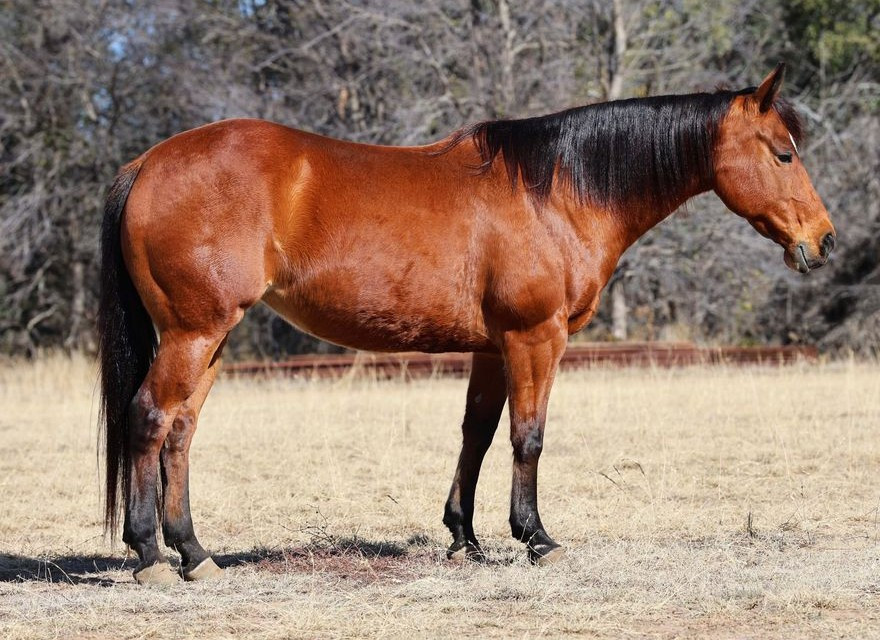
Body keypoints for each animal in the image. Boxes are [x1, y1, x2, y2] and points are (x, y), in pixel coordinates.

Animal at [97, 63, 835, 584]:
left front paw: (465, 538)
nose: (824, 241)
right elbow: (528, 438)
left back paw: (195, 553)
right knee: (148, 418)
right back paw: (150, 555)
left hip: (212, 338)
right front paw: (536, 539)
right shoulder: (536, 338)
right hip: (193, 333)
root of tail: (145, 164)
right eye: (783, 153)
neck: (556, 191)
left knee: (181, 432)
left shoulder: (491, 347)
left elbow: (476, 436)